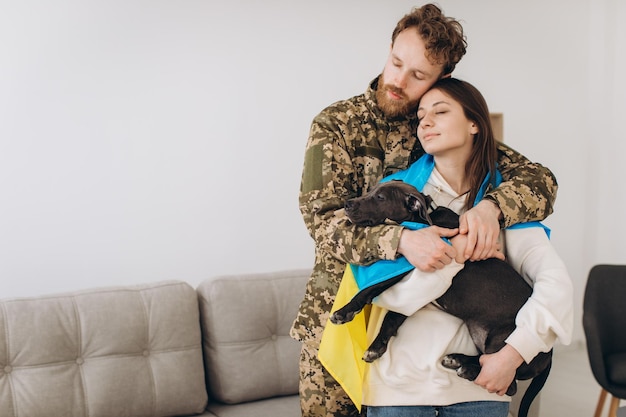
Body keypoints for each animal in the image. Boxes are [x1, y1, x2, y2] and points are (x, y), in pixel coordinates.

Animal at [332, 180, 552, 416]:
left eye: (380, 197)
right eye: (371, 190)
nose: (347, 204)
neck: (423, 221)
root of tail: (549, 354)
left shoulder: (411, 267)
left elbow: (369, 290)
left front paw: (344, 312)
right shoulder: (414, 292)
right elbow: (391, 318)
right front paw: (376, 347)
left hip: (501, 343)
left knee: (506, 382)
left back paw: (466, 369)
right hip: (480, 334)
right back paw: (457, 360)